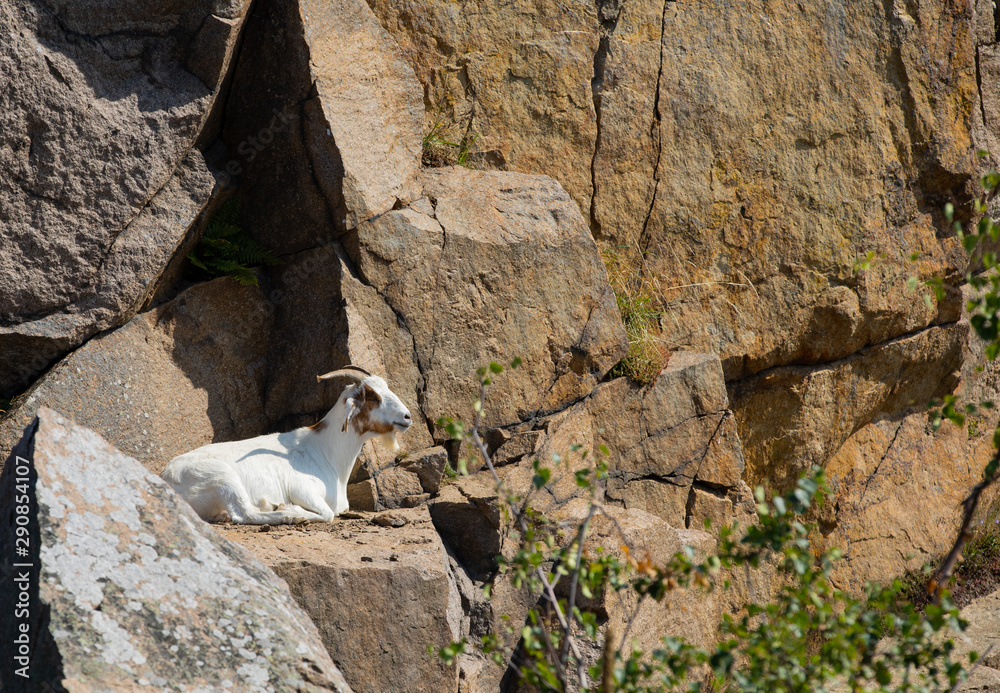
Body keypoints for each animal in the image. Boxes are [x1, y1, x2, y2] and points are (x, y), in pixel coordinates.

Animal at [160, 366, 412, 524]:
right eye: (373, 397)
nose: (407, 417)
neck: (324, 450)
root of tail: (166, 478)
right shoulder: (301, 487)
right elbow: (327, 513)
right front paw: (289, 509)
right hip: (223, 478)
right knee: (245, 514)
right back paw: (284, 514)